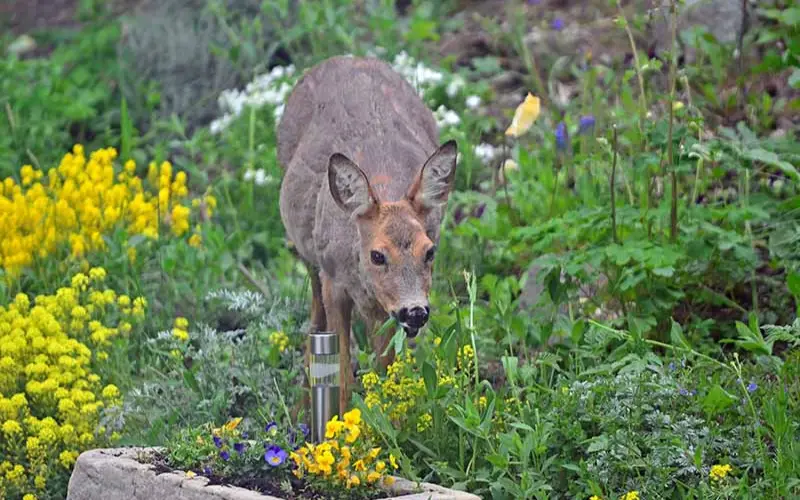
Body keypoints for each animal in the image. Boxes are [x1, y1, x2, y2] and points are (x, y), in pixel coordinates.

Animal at [278, 56, 460, 412]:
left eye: (430, 251)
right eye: (377, 255)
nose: (415, 311)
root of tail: (346, 58)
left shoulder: (384, 309)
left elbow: (388, 371)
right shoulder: (334, 282)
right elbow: (342, 374)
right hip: (310, 256)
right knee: (314, 316)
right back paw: (301, 406)